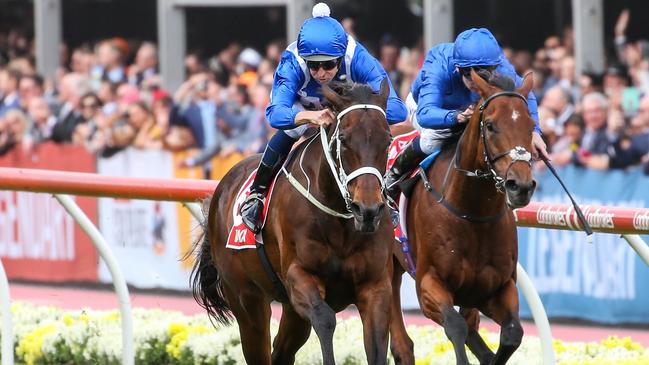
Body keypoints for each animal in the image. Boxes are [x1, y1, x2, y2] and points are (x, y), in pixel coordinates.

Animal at [190, 79, 398, 364]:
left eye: (387, 139)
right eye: (343, 139)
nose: (367, 210)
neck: (341, 221)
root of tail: (222, 188)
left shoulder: (375, 286)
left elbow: (377, 345)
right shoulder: (298, 276)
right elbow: (325, 319)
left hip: (288, 310)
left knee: (281, 350)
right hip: (246, 299)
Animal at [390, 69, 536, 364]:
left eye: (531, 126)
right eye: (490, 125)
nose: (521, 186)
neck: (472, 212)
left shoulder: (496, 288)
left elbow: (511, 334)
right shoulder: (429, 284)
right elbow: (456, 327)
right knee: (400, 340)